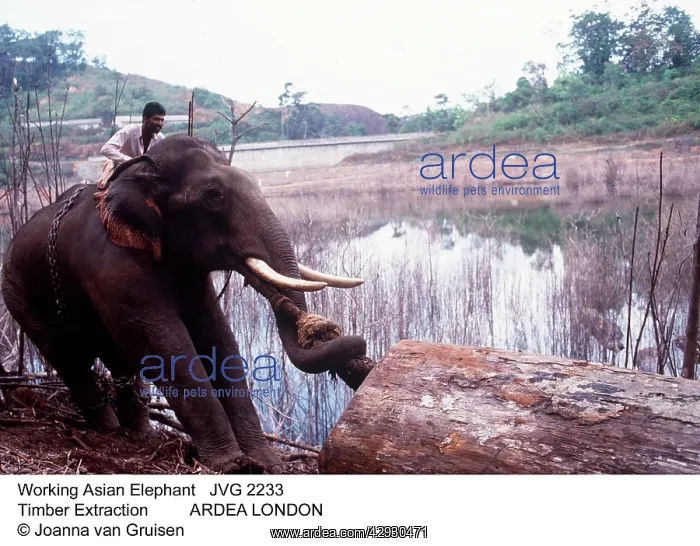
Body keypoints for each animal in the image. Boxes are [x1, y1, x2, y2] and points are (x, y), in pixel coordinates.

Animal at [1, 134, 371, 474]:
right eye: (213, 197)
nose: (353, 346)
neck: (141, 171)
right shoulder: (110, 267)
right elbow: (164, 344)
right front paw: (233, 464)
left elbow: (217, 336)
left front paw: (266, 463)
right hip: (18, 296)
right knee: (70, 359)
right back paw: (107, 429)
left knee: (117, 358)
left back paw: (140, 435)